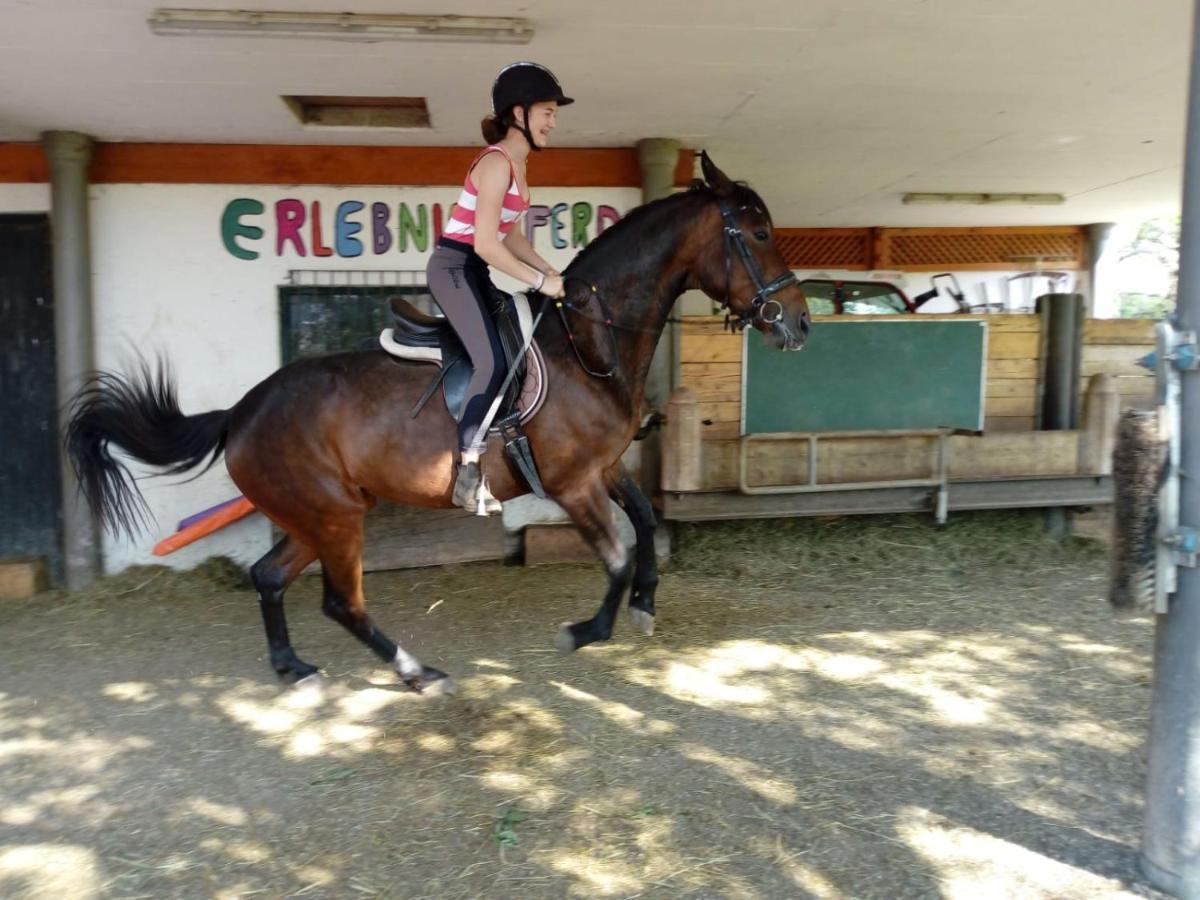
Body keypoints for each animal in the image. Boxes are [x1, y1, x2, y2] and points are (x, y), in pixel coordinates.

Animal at [68, 151, 816, 696]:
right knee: (340, 602)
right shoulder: (570, 483)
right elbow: (615, 555)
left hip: (316, 516)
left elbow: (644, 519)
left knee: (270, 578)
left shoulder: (602, 469)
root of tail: (241, 412)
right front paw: (587, 629)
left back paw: (294, 668)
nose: (801, 324)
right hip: (335, 517)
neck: (587, 341)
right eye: (758, 234)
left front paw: (646, 604)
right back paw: (417, 672)